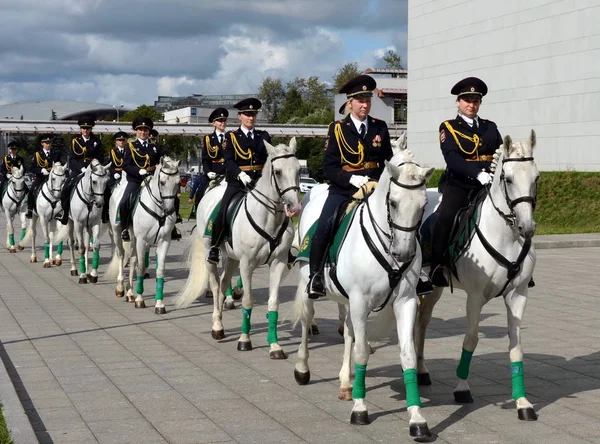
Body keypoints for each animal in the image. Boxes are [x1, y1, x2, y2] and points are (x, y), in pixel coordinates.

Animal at [105, 156, 182, 312]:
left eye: (178, 182)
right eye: (162, 182)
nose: (170, 210)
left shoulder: (164, 240)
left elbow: (160, 269)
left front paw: (159, 303)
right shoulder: (142, 240)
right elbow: (141, 267)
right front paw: (140, 300)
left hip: (133, 237)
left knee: (133, 259)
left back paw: (129, 293)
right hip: (117, 232)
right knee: (121, 255)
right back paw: (120, 288)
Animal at [176, 137, 302, 360]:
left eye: (298, 169)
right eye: (278, 171)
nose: (294, 207)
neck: (269, 218)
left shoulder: (278, 263)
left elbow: (273, 303)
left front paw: (275, 346)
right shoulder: (247, 264)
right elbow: (248, 302)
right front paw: (244, 340)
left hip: (232, 258)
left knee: (224, 282)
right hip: (212, 254)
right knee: (215, 285)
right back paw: (217, 326)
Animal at [290, 140, 432, 438]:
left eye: (424, 204)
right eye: (393, 202)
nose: (404, 253)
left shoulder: (405, 302)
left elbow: (407, 355)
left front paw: (416, 418)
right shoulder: (360, 302)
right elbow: (362, 352)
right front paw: (360, 409)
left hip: (347, 301)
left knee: (347, 333)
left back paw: (346, 383)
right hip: (311, 288)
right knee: (308, 322)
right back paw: (302, 369)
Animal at [414, 131, 540, 420]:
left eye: (536, 177)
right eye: (508, 179)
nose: (527, 228)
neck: (505, 235)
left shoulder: (518, 295)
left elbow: (516, 346)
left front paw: (523, 402)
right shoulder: (474, 297)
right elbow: (471, 339)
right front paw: (462, 388)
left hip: (435, 288)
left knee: (422, 322)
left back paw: (422, 371)